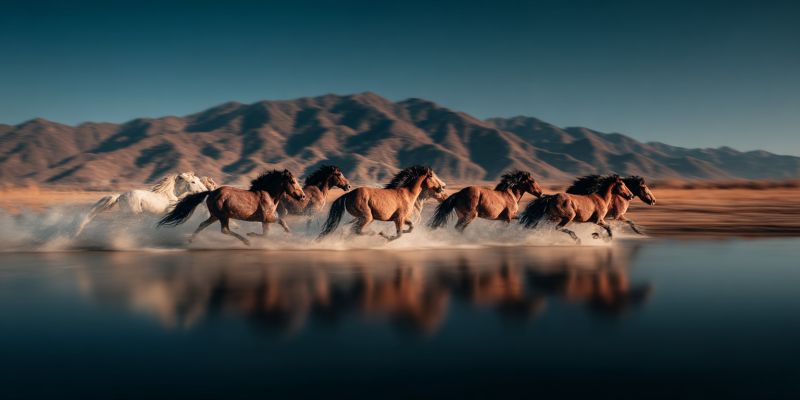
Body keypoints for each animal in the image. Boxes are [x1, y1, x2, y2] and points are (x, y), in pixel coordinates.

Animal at [157, 169, 306, 246]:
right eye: (292, 181)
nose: (302, 196)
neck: (268, 194)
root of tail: (211, 192)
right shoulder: (268, 218)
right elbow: (281, 222)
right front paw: (289, 233)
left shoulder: (265, 221)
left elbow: (266, 233)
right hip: (223, 216)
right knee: (225, 230)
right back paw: (246, 241)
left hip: (215, 216)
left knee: (202, 225)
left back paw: (190, 240)